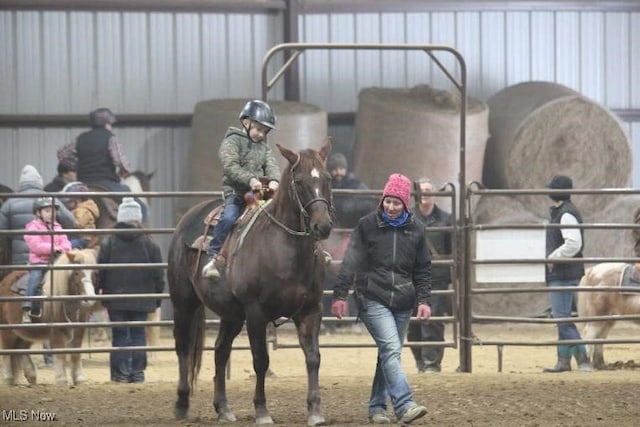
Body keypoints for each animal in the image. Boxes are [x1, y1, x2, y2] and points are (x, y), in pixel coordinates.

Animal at [0, 249, 97, 386]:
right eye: (76, 273)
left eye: (93, 273)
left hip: (27, 331)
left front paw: (79, 378)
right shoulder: (56, 331)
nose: (90, 299)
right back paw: (8, 378)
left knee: (21, 349)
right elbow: (60, 353)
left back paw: (31, 375)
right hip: (8, 330)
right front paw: (62, 379)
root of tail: (5, 281)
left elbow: (76, 353)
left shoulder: (79, 329)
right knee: (8, 350)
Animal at [165, 139, 336, 426]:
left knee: (221, 350)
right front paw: (262, 411)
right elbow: (261, 360)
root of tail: (187, 219)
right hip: (184, 302)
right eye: (299, 181)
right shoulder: (257, 313)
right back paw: (181, 404)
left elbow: (313, 358)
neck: (284, 249)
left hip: (232, 314)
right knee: (183, 347)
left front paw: (315, 411)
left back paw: (223, 408)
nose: (322, 227)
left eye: (327, 178)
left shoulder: (311, 310)